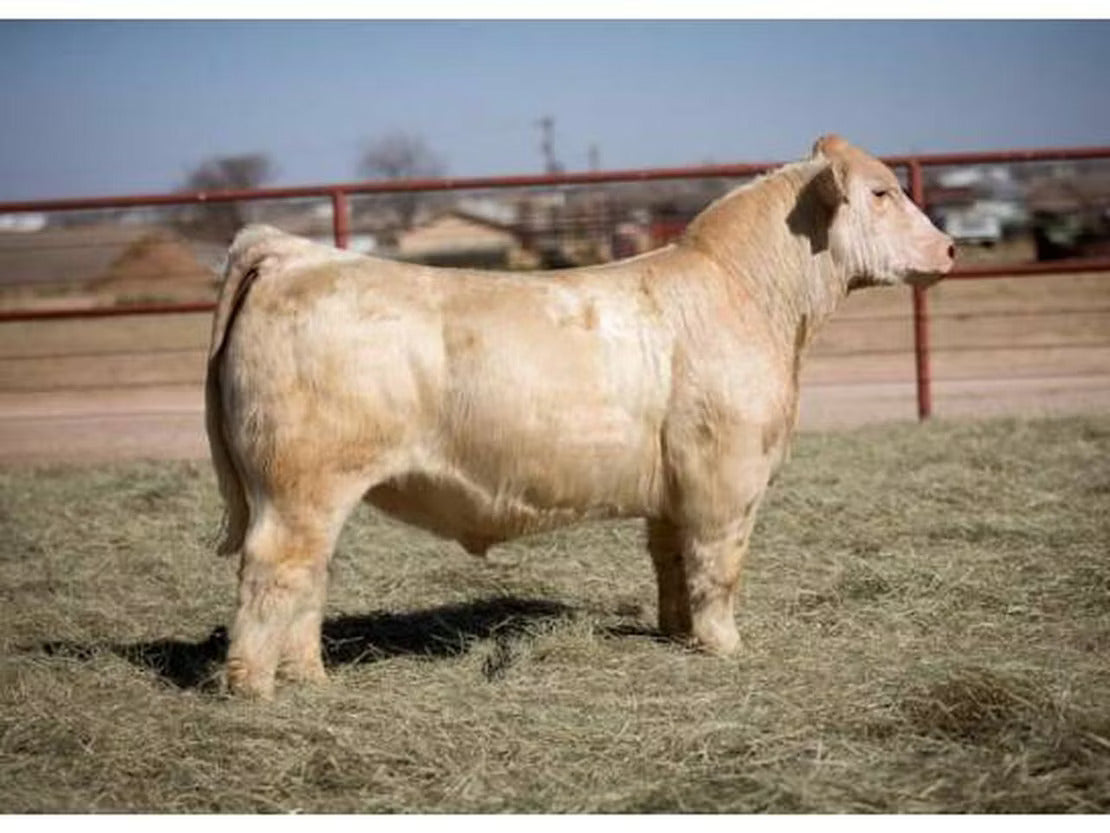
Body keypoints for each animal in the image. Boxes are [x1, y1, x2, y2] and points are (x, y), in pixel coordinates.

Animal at [206, 135, 954, 697]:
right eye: (881, 192)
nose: (949, 248)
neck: (749, 297)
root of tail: (294, 252)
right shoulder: (726, 479)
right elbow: (718, 566)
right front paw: (726, 647)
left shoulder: (674, 490)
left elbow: (670, 561)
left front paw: (676, 632)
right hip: (300, 485)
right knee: (271, 571)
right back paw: (255, 688)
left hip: (312, 494)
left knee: (309, 574)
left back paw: (310, 675)